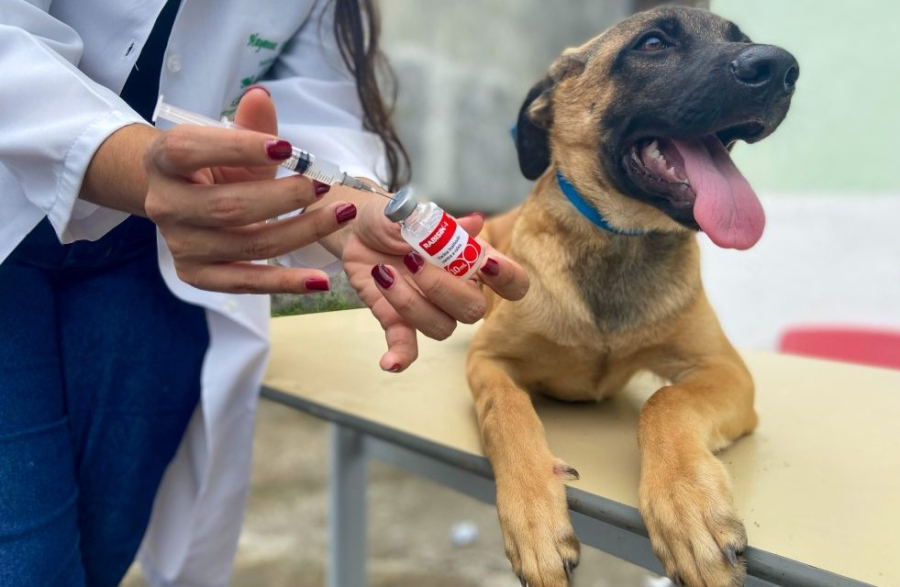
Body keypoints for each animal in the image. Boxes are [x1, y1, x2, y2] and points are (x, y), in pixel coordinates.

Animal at [468, 5, 800, 587]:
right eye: (652, 43)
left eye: (742, 38)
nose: (782, 67)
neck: (620, 239)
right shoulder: (487, 359)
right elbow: (506, 411)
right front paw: (532, 516)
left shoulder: (726, 370)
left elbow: (664, 401)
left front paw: (687, 505)